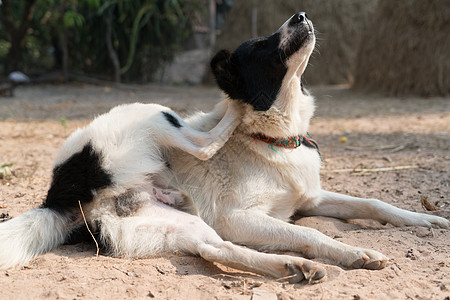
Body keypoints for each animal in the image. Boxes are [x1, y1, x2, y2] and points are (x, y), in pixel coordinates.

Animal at [0, 12, 446, 284]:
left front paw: (426, 221)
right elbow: (311, 233)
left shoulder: (309, 199)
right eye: (262, 46)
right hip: (148, 112)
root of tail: (59, 195)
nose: (300, 15)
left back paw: (294, 266)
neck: (275, 140)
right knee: (202, 144)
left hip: (172, 222)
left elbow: (374, 203)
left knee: (217, 248)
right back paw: (230, 117)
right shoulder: (239, 217)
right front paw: (349, 251)